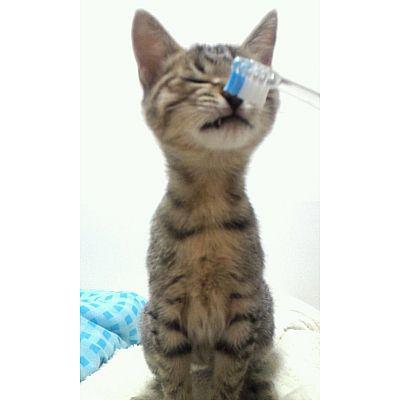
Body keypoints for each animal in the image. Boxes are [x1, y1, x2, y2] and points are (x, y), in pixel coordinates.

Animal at [131, 9, 280, 400]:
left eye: (253, 78)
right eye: (194, 77)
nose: (233, 93)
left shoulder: (243, 309)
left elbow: (230, 376)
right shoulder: (166, 309)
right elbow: (173, 375)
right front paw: (171, 388)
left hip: (264, 310)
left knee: (255, 362)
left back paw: (259, 384)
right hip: (147, 319)